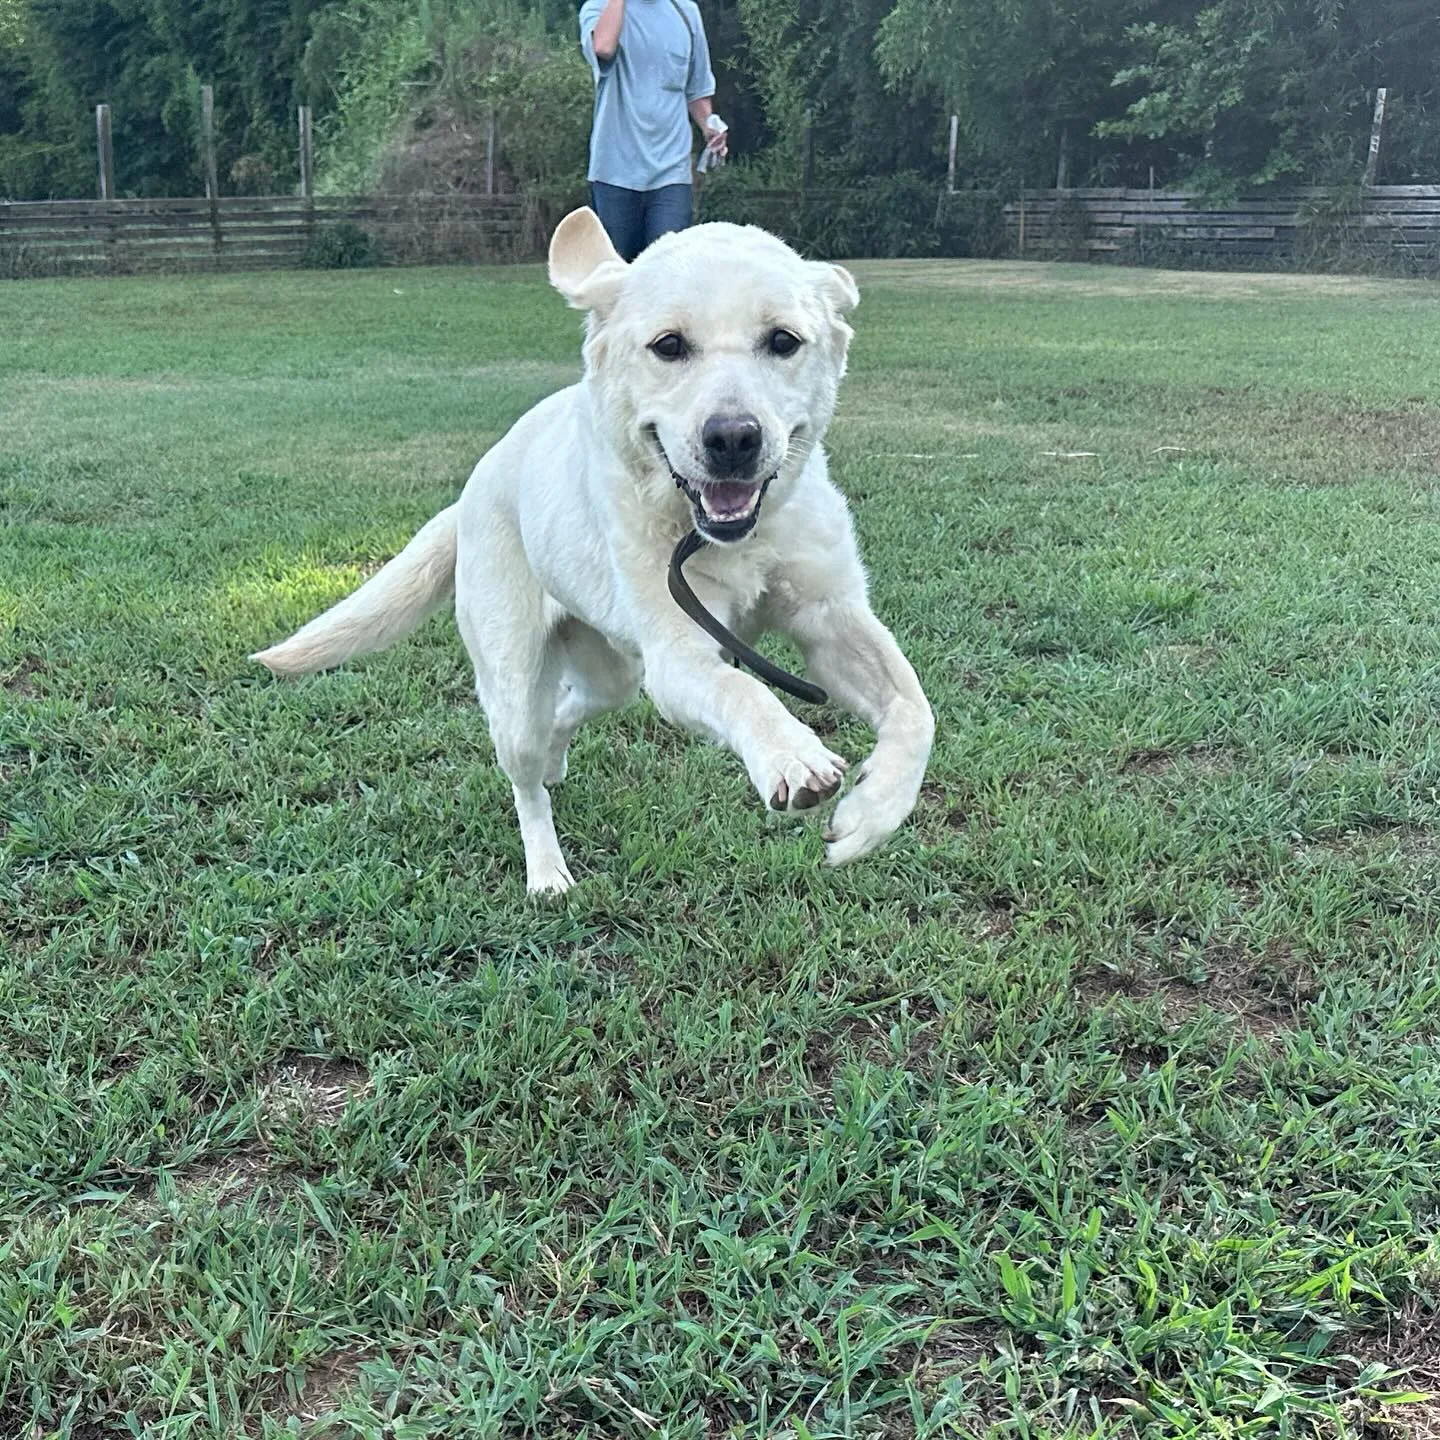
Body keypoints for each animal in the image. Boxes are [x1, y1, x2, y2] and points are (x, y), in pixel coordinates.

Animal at [253, 210, 933, 892]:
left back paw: (558, 761)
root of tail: (471, 492)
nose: (734, 438)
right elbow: (744, 690)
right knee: (526, 780)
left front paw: (872, 815)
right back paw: (546, 871)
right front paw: (791, 754)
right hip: (518, 686)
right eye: (669, 345)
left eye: (783, 341)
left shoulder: (831, 620)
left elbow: (915, 708)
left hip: (614, 673)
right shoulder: (678, 660)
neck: (732, 538)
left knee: (569, 713)